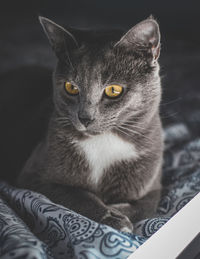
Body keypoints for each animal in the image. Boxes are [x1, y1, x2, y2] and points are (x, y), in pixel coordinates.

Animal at [18, 16, 163, 234]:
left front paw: (119, 212)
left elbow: (147, 206)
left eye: (114, 90)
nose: (85, 117)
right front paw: (113, 218)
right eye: (71, 87)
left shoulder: (154, 182)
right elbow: (74, 194)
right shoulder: (31, 176)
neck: (103, 141)